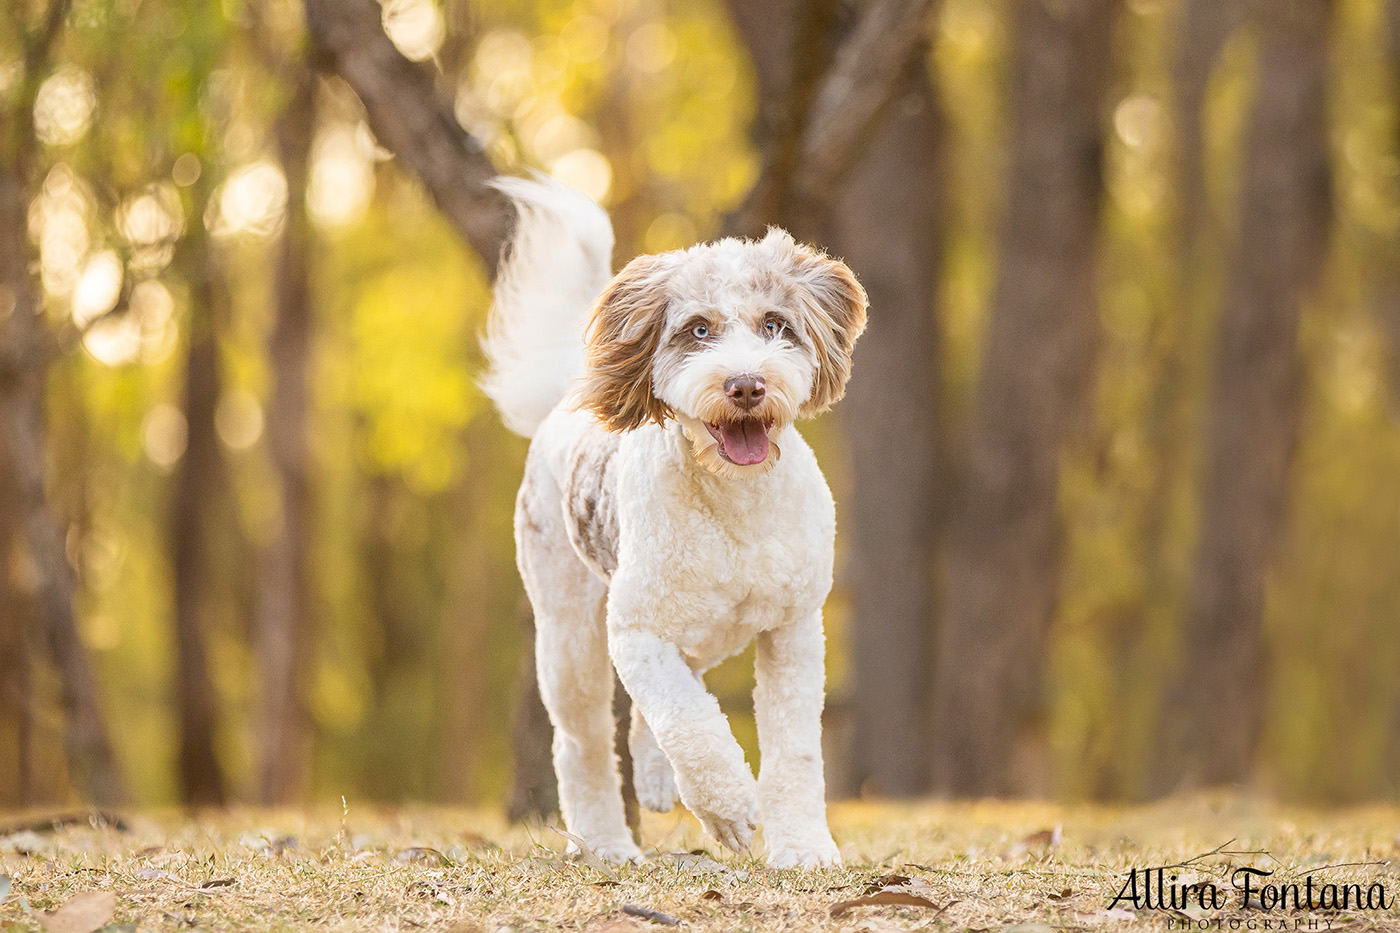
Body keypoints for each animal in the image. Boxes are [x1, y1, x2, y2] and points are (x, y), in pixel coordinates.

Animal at [481, 174, 862, 862]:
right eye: (699, 330)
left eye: (775, 325)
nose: (745, 385)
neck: (737, 506)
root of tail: (565, 399)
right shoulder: (636, 632)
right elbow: (688, 721)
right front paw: (730, 808)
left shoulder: (793, 629)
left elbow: (794, 751)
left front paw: (803, 849)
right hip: (572, 637)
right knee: (584, 743)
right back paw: (607, 843)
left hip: (705, 635)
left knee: (656, 710)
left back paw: (656, 780)